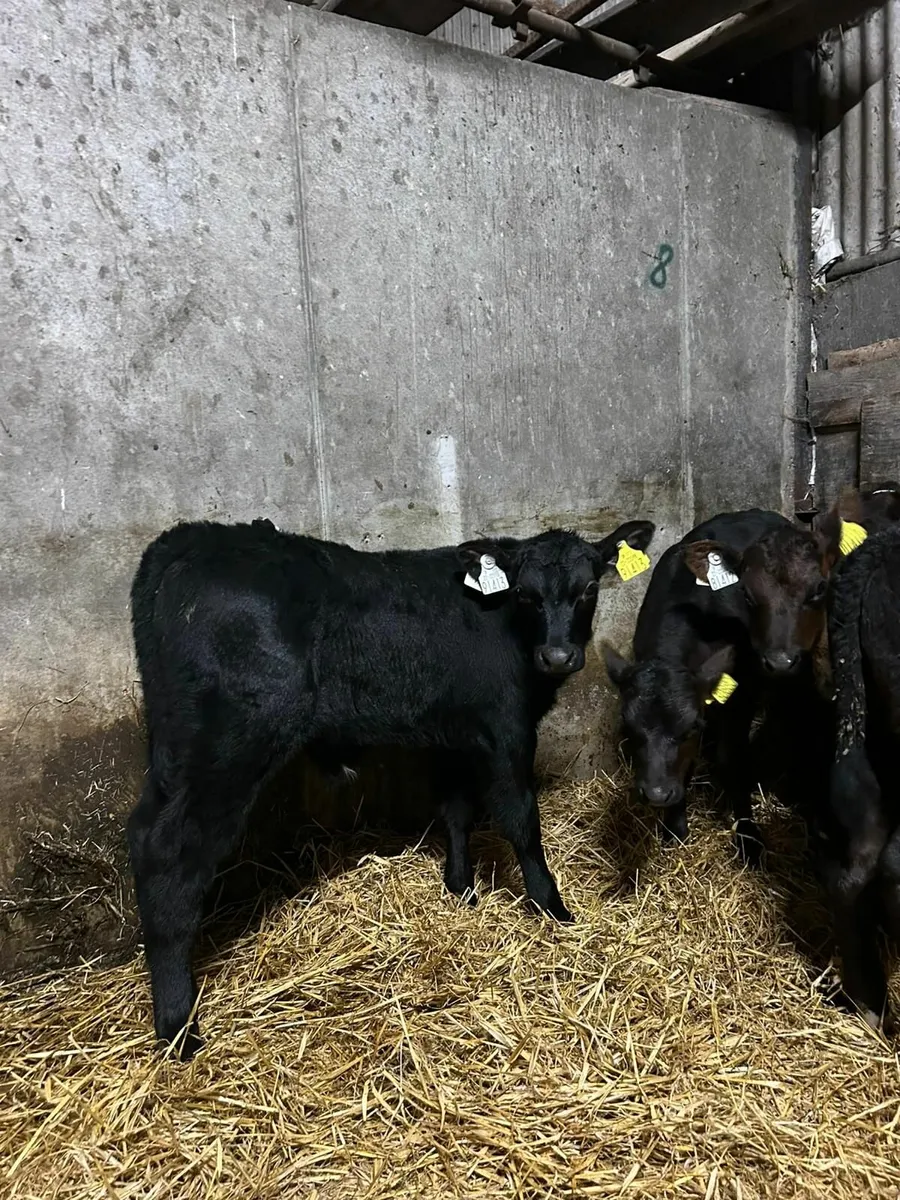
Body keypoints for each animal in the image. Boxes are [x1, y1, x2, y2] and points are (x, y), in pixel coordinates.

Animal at [127, 517, 655, 1057]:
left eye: (588, 588)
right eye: (525, 593)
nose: (558, 656)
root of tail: (189, 540)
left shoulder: (456, 735)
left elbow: (456, 809)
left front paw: (461, 889)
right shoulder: (507, 728)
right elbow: (521, 819)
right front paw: (551, 906)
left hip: (175, 749)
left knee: (145, 832)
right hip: (233, 742)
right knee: (169, 856)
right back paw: (178, 1027)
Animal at [603, 508, 842, 862]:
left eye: (691, 727)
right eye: (629, 727)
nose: (657, 794)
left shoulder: (740, 699)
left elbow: (733, 759)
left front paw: (748, 837)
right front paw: (675, 828)